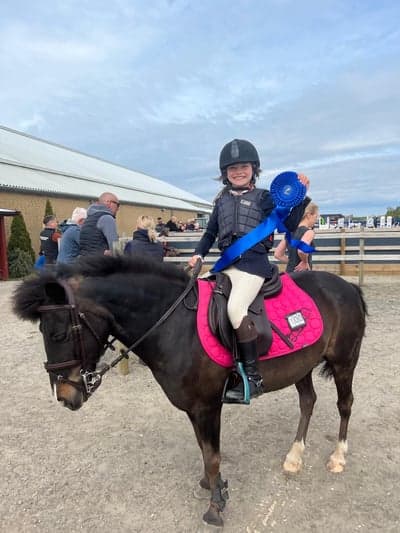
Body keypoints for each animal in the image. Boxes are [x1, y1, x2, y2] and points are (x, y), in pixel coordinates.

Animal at [14, 256, 368, 524]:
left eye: (58, 333)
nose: (65, 397)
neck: (173, 326)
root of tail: (346, 286)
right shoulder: (194, 409)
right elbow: (204, 450)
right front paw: (213, 486)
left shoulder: (207, 406)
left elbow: (212, 456)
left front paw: (215, 506)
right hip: (302, 365)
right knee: (308, 401)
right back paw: (294, 457)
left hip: (343, 362)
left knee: (345, 404)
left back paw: (338, 457)